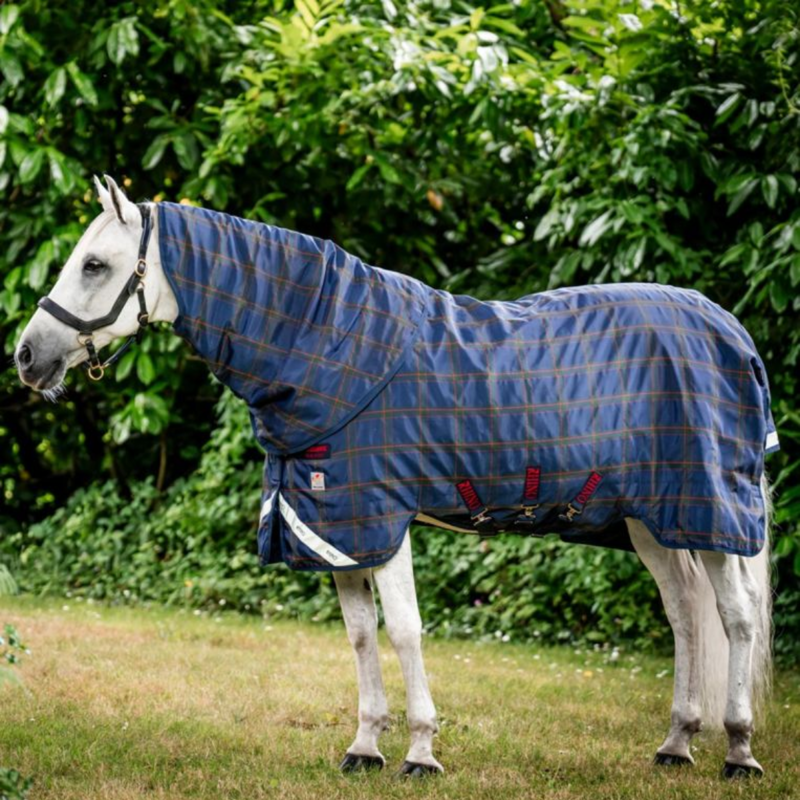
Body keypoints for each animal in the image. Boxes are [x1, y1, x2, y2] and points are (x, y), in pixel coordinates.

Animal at [15, 176, 776, 779]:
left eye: (94, 264)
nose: (26, 357)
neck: (328, 348)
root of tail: (730, 328)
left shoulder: (383, 518)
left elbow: (406, 630)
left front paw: (421, 751)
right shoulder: (337, 526)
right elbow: (359, 636)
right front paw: (364, 746)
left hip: (711, 508)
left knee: (736, 617)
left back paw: (739, 751)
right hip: (654, 518)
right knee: (684, 614)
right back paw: (677, 743)